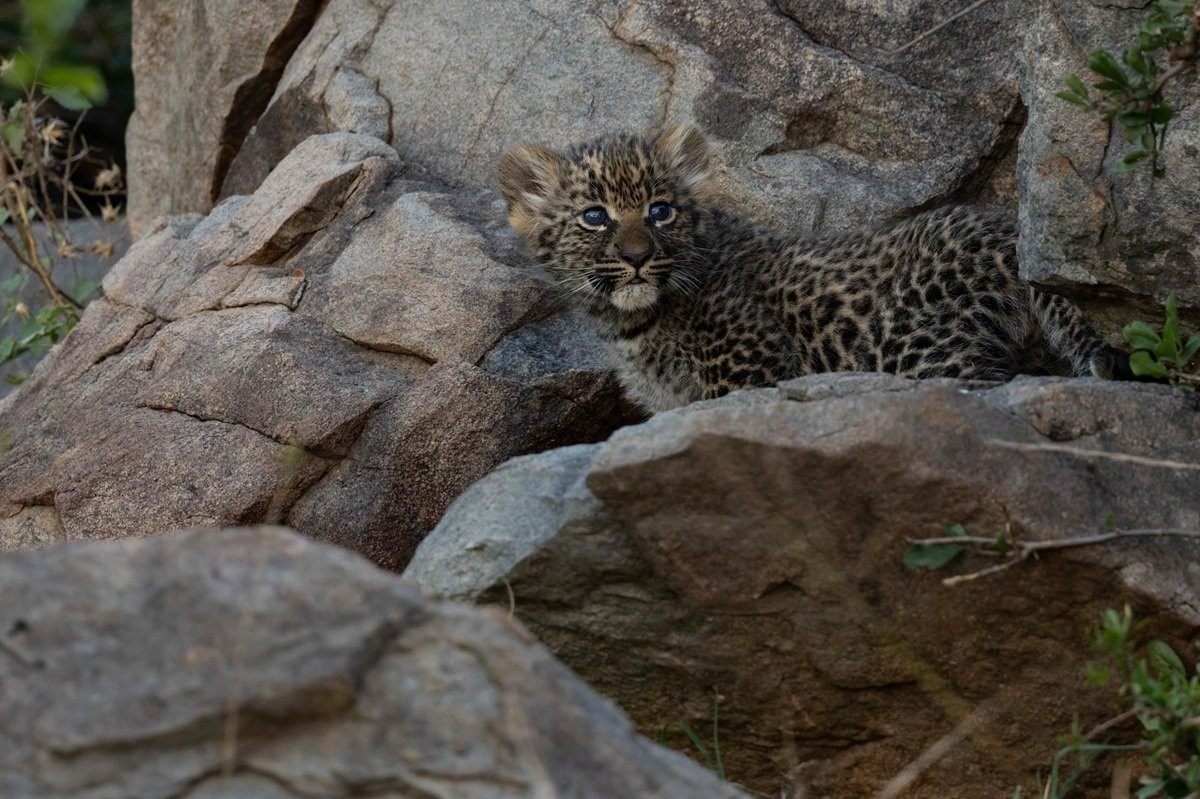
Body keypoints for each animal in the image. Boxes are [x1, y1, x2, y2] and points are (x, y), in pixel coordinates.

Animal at [497, 122, 1128, 412]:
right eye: (594, 217)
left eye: (660, 211)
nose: (636, 256)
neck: (632, 323)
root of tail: (1009, 232)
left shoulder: (750, 371)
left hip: (914, 343)